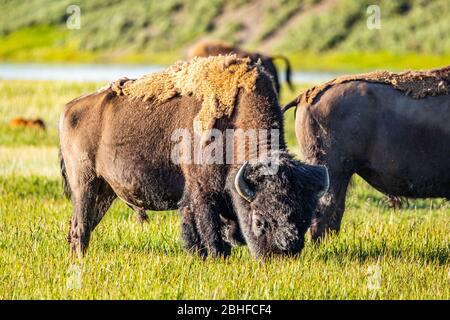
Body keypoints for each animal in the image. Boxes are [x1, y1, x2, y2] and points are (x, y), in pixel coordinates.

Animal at [59, 56, 326, 258]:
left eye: (305, 219)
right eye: (259, 220)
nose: (280, 256)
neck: (234, 121)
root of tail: (69, 109)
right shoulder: (202, 191)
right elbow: (208, 228)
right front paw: (215, 256)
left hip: (105, 191)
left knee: (79, 225)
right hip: (85, 184)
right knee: (81, 226)